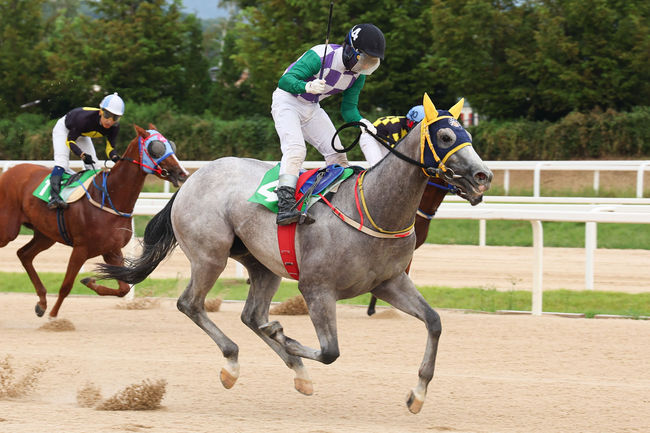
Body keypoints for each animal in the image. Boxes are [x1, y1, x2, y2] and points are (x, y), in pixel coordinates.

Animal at [0, 124, 187, 318]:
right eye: (156, 148)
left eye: (171, 145)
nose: (182, 173)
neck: (110, 197)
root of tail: (8, 172)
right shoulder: (81, 249)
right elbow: (66, 286)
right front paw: (53, 317)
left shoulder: (112, 250)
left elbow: (124, 289)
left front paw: (89, 281)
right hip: (8, 230)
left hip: (45, 235)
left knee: (24, 254)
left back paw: (42, 302)